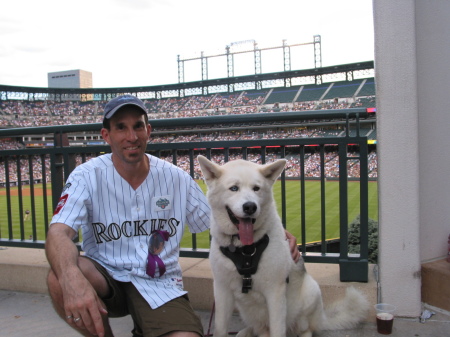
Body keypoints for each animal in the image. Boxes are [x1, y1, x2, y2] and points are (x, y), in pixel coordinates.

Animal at [198, 156, 370, 336]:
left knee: (304, 329)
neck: (244, 250)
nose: (250, 206)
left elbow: (277, 330)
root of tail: (322, 319)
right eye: (234, 188)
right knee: (257, 328)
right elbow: (220, 328)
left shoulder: (275, 292)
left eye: (256, 188)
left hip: (310, 294)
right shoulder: (222, 290)